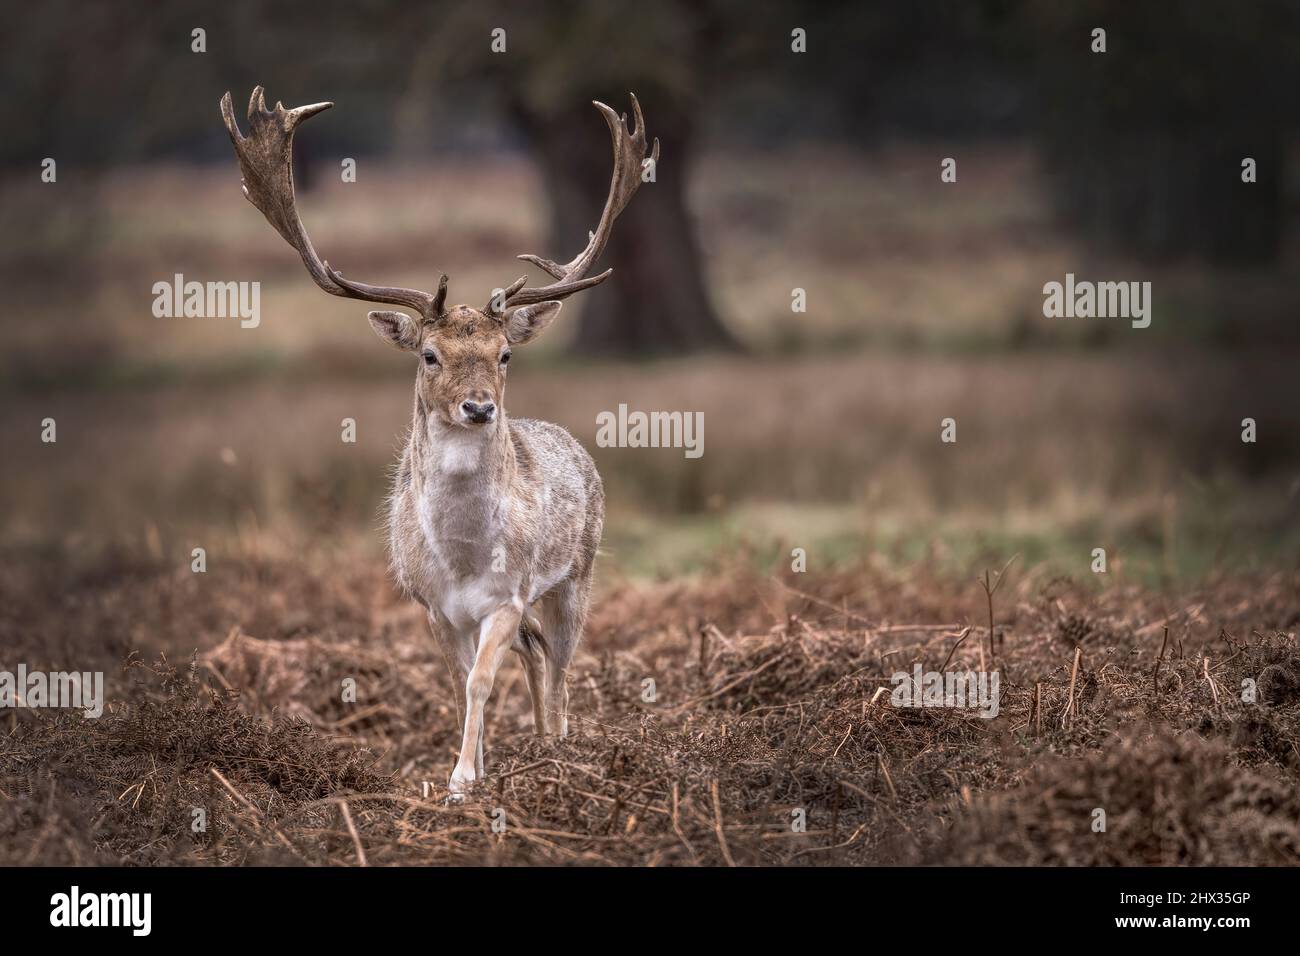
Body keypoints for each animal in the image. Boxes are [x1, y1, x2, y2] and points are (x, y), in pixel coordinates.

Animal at [217, 87, 655, 790]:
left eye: (505, 354)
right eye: (428, 354)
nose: (478, 407)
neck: (463, 559)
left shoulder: (508, 595)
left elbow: (479, 682)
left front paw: (462, 782)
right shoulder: (431, 607)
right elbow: (456, 687)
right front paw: (469, 770)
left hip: (577, 574)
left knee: (560, 665)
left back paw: (559, 752)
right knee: (538, 657)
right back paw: (536, 748)